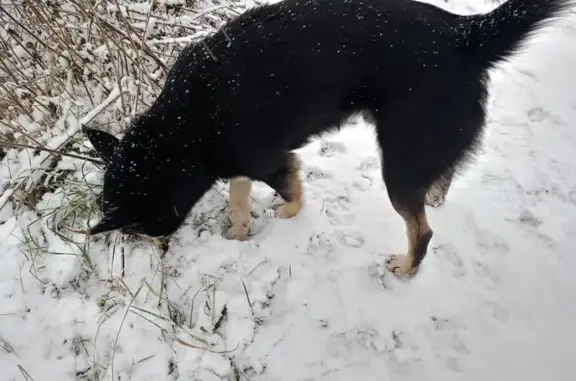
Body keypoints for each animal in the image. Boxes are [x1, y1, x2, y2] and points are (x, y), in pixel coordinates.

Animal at [83, 0, 572, 274]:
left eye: (141, 227)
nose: (154, 247)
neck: (182, 130)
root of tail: (463, 32)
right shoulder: (243, 164)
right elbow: (239, 202)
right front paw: (239, 236)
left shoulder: (275, 162)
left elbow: (292, 196)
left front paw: (285, 216)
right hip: (425, 147)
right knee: (443, 177)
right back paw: (434, 196)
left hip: (399, 163)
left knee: (422, 232)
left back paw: (406, 268)